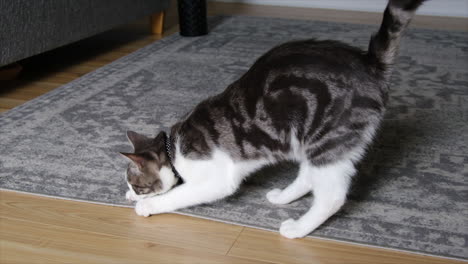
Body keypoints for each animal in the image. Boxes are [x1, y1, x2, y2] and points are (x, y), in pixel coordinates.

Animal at [121, 0, 428, 239]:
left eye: (138, 185)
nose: (132, 193)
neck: (174, 149)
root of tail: (369, 63)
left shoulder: (216, 179)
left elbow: (177, 194)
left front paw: (146, 205)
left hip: (326, 139)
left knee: (331, 196)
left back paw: (298, 229)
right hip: (309, 140)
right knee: (308, 176)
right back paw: (283, 197)